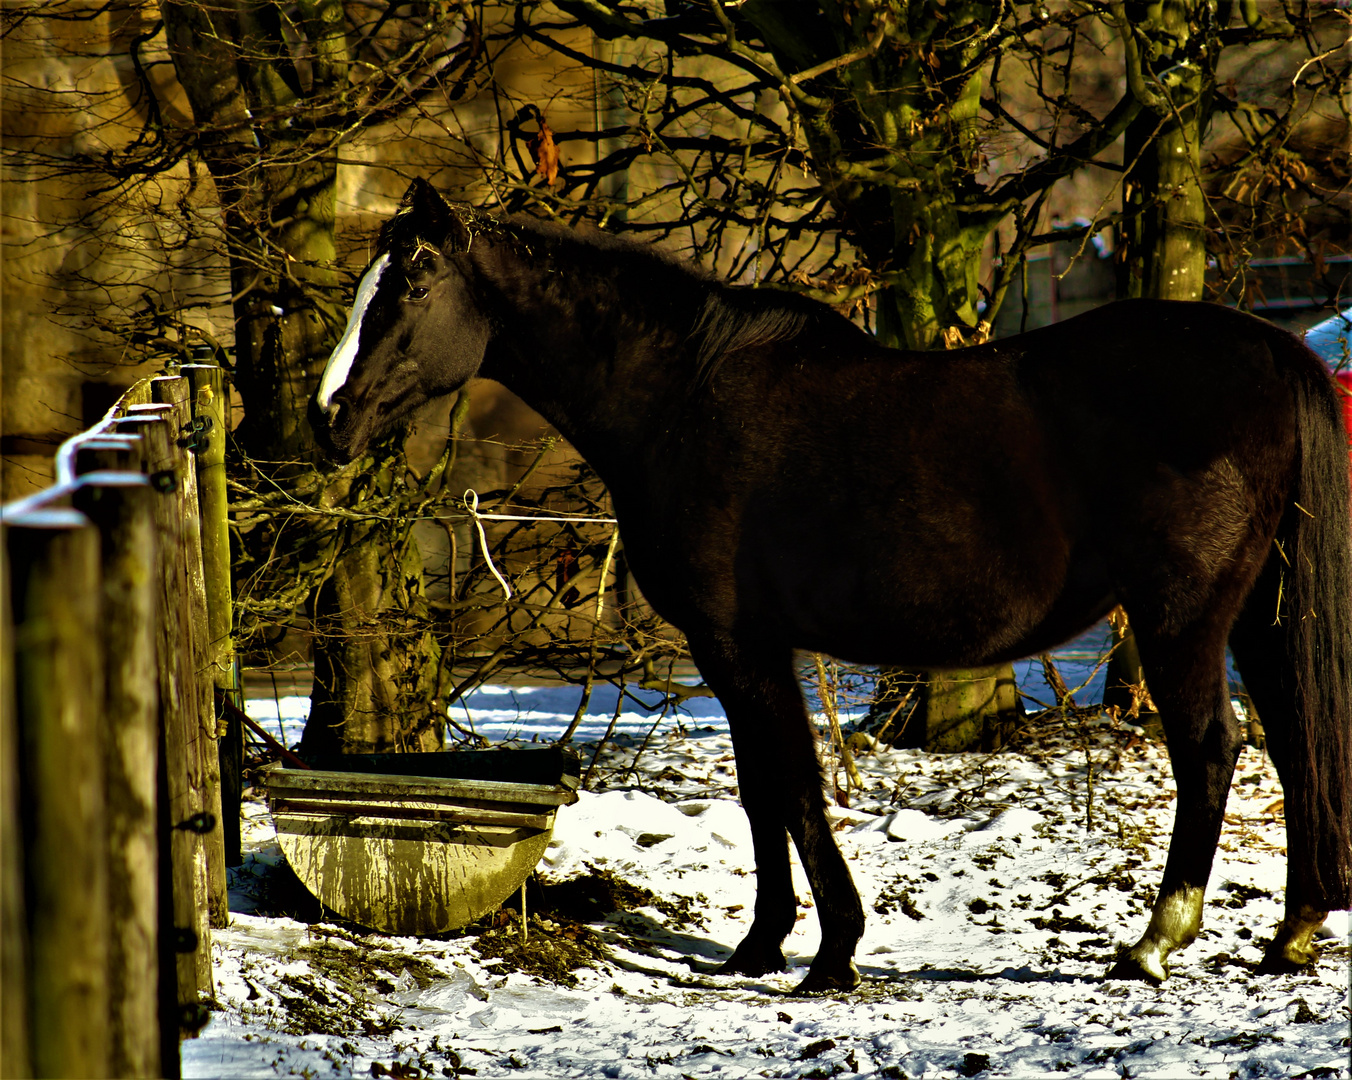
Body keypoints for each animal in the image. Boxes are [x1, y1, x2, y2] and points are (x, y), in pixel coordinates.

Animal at [309, 179, 1352, 994]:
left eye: (411, 282)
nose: (329, 417)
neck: (679, 398)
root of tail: (1273, 350)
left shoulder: (739, 644)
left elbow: (794, 786)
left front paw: (831, 952)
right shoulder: (740, 649)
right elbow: (760, 789)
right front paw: (760, 945)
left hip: (1184, 619)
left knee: (1214, 749)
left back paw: (1154, 943)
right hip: (1258, 616)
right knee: (1294, 741)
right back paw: (1291, 935)